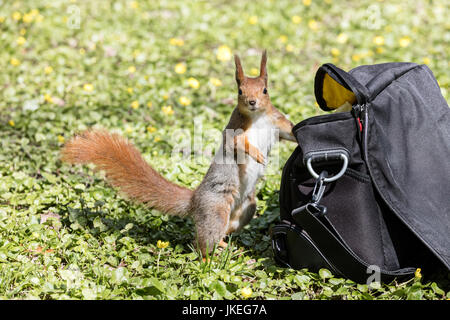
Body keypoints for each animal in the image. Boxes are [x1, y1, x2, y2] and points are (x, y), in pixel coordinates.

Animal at [61, 50, 298, 260]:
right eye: (240, 91)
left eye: (265, 90)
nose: (252, 102)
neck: (257, 117)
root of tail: (195, 200)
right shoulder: (235, 131)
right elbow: (237, 143)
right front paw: (257, 154)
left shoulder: (276, 121)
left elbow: (291, 131)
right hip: (215, 208)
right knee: (201, 243)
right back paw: (207, 259)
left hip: (246, 209)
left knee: (225, 230)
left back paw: (223, 244)